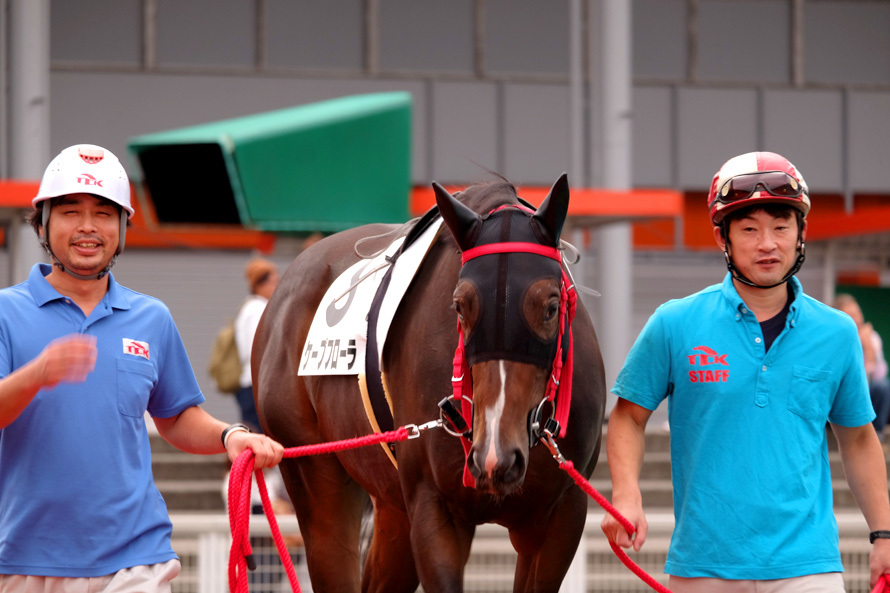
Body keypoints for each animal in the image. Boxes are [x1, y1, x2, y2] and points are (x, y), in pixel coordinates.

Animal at [252, 173, 607, 593]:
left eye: (551, 307)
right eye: (459, 306)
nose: (495, 457)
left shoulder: (561, 517)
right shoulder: (433, 509)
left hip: (392, 505)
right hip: (315, 479)